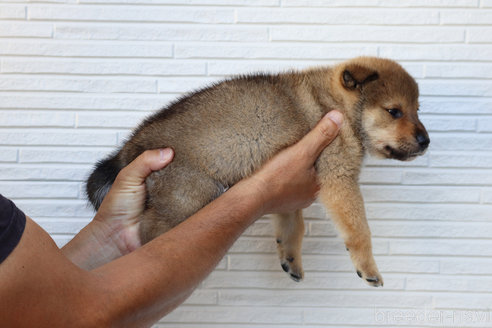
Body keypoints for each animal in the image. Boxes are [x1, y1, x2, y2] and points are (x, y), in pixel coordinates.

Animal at [86, 57, 428, 288]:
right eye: (394, 111)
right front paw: (369, 268)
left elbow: (293, 227)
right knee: (151, 233)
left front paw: (290, 258)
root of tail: (131, 148)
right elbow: (359, 231)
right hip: (188, 198)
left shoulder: (290, 195)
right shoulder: (338, 176)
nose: (426, 141)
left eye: (417, 110)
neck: (336, 106)